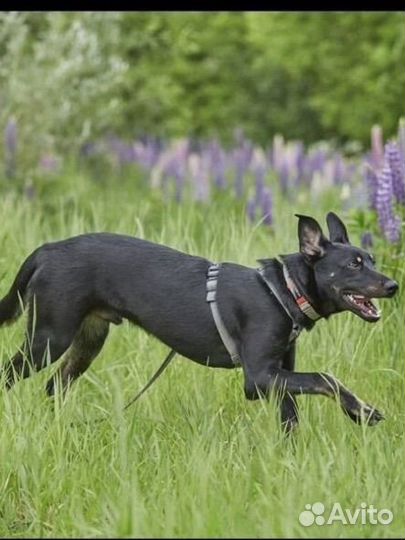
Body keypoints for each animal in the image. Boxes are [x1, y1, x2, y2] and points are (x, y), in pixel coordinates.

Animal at [0, 211, 398, 430]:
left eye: (371, 259)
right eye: (353, 265)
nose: (394, 286)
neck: (282, 289)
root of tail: (47, 250)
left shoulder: (280, 373)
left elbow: (292, 418)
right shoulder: (258, 378)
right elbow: (326, 378)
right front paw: (362, 412)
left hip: (87, 341)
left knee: (55, 386)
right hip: (49, 338)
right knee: (11, 374)